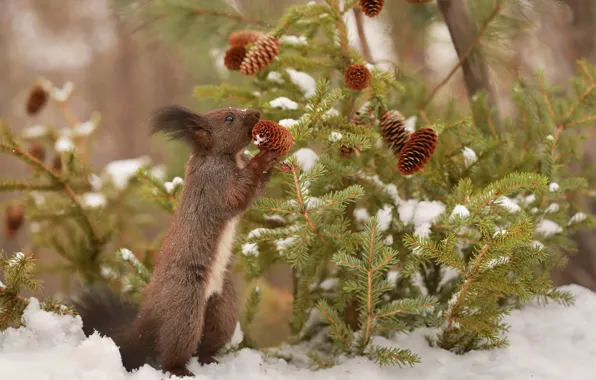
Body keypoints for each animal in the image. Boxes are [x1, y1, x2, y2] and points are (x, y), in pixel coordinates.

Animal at [68, 104, 278, 378]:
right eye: (229, 118)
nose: (256, 114)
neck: (224, 156)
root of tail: (146, 318)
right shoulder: (214, 183)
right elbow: (238, 195)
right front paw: (263, 159)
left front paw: (274, 160)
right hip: (184, 310)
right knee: (173, 350)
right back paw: (180, 369)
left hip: (223, 308)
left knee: (207, 341)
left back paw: (211, 360)